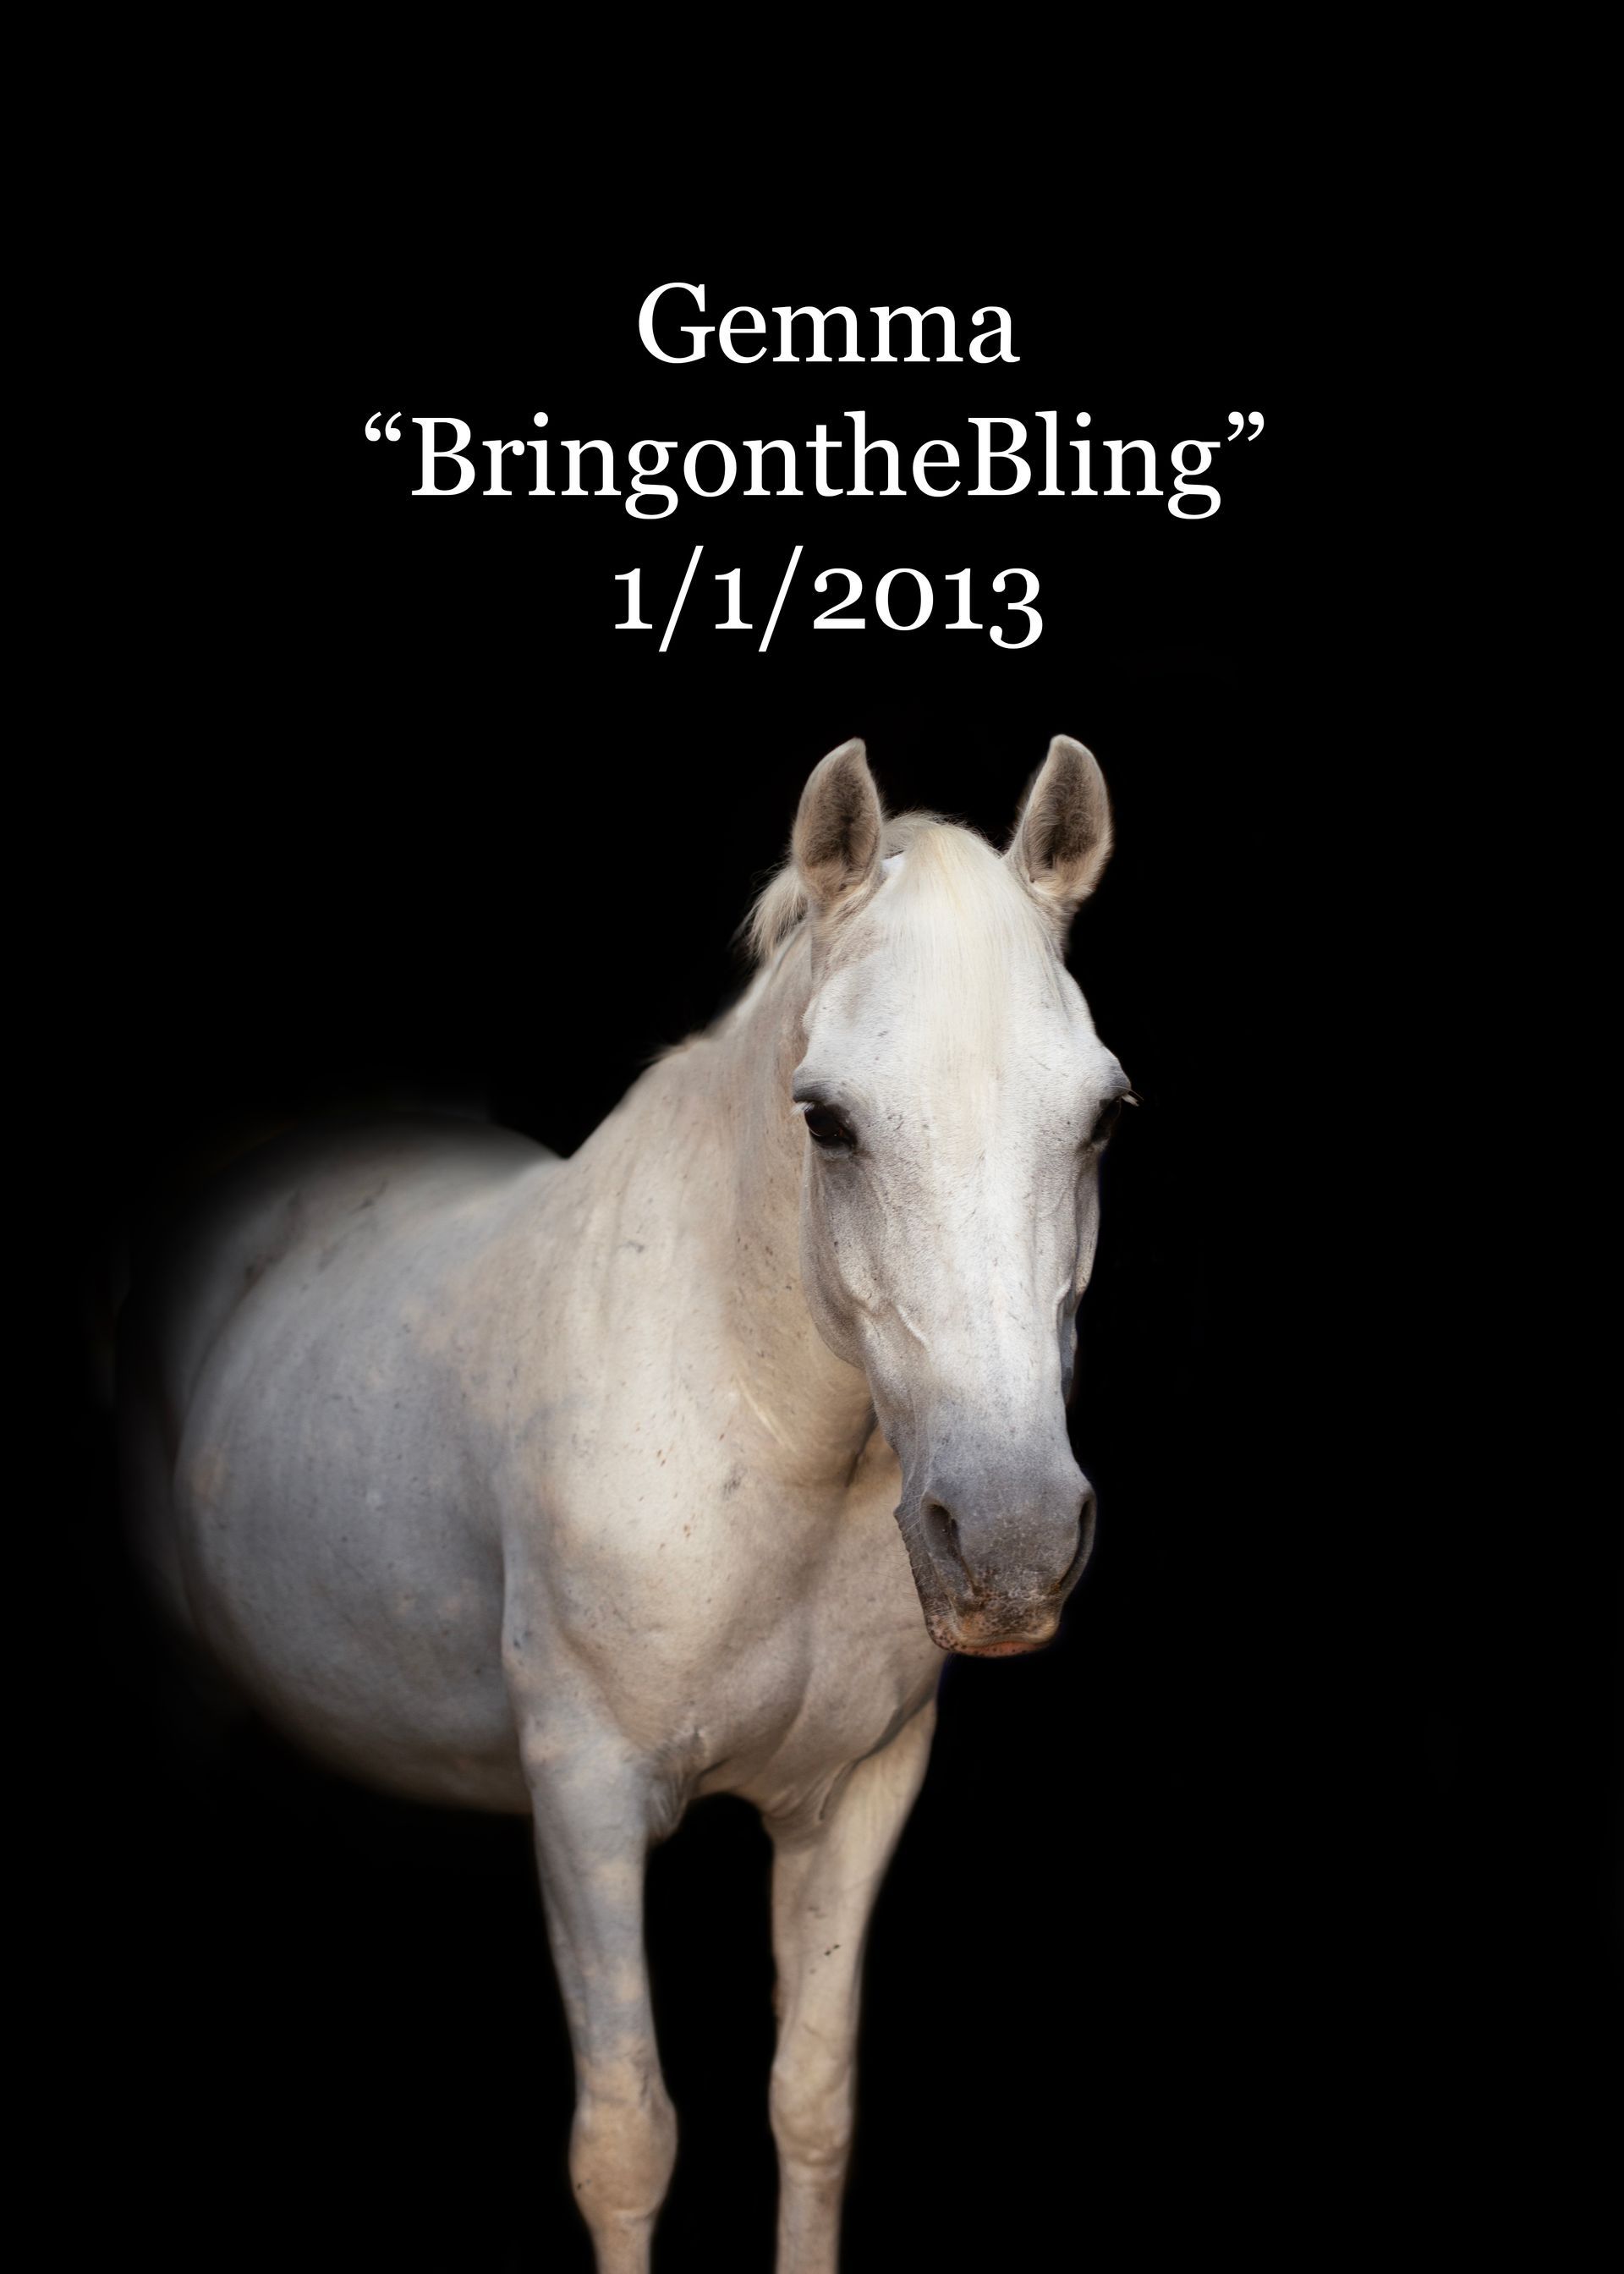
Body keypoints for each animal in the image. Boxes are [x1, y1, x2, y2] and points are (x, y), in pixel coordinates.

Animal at [119, 734, 1131, 2274]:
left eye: (1101, 1117)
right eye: (828, 1120)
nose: (1009, 1544)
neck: (761, 1436)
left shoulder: (857, 1794)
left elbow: (813, 2103)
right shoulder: (586, 1798)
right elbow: (625, 2141)